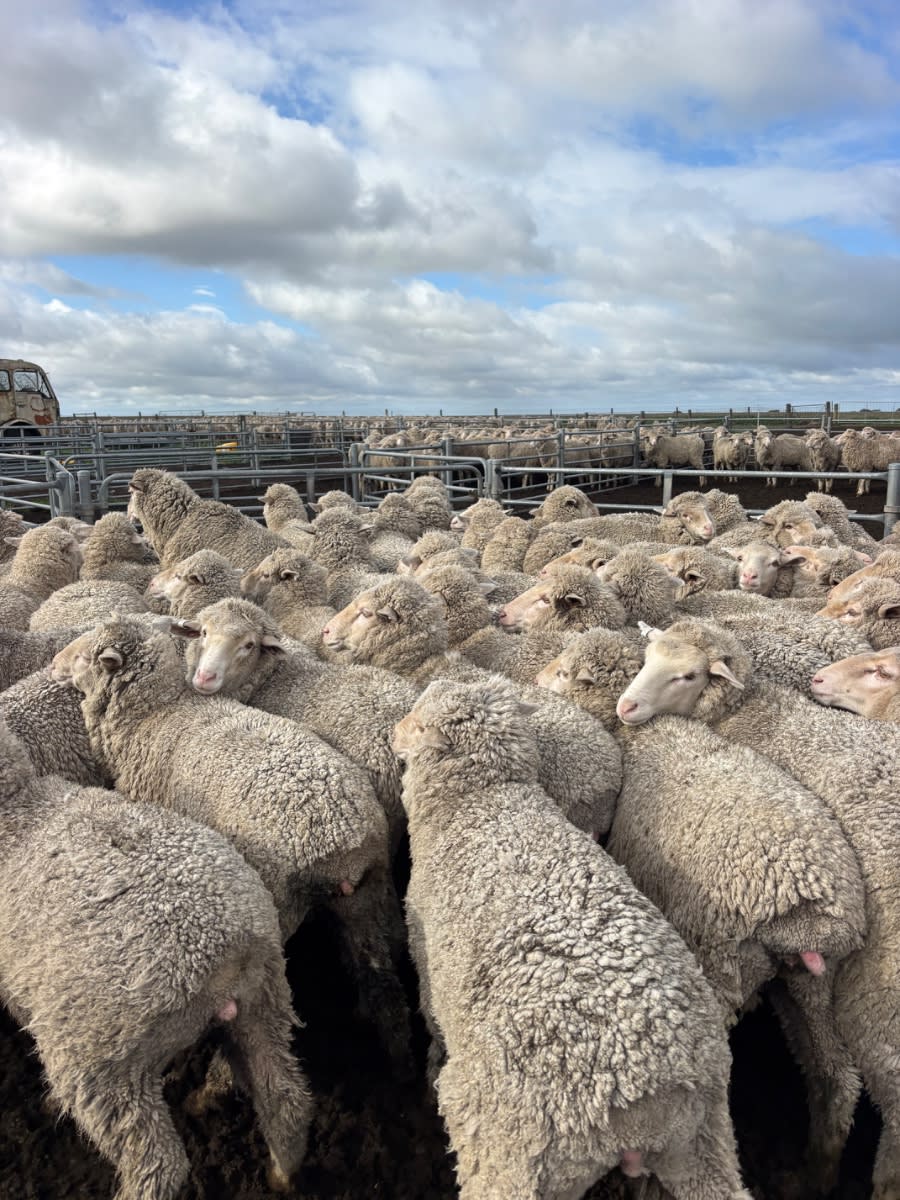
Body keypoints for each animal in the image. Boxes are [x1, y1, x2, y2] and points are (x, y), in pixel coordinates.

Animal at [0, 718, 312, 1200]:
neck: (18, 809)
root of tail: (220, 952)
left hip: (105, 1066)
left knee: (160, 1166)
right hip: (266, 999)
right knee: (285, 1098)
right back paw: (282, 1175)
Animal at [52, 617, 407, 1063]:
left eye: (85, 657)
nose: (54, 663)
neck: (154, 713)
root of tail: (344, 836)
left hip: (281, 906)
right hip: (367, 898)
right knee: (383, 984)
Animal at [394, 677, 750, 1200]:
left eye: (418, 723)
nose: (391, 735)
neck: (483, 801)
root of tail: (640, 1089)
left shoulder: (423, 956)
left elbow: (430, 1018)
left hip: (510, 1161)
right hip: (703, 1142)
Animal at [616, 616, 900, 1195]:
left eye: (687, 674)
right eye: (647, 658)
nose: (626, 707)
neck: (742, 710)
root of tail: (812, 909)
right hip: (818, 984)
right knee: (836, 1077)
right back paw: (817, 1173)